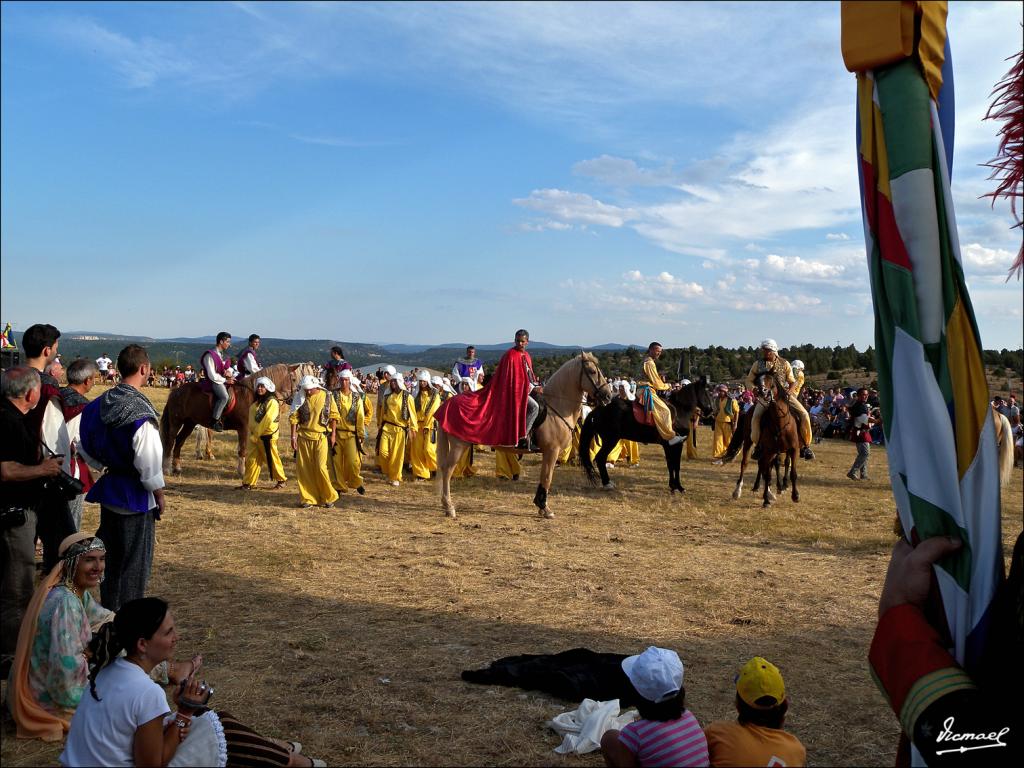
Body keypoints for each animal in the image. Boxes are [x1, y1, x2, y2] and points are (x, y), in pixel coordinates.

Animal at [159, 364, 315, 479]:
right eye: (294, 379)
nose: (299, 400)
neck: (253, 395)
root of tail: (175, 391)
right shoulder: (243, 428)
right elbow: (243, 449)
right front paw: (242, 471)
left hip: (189, 423)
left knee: (179, 441)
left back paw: (177, 467)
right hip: (176, 422)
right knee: (171, 441)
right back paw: (167, 468)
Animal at [436, 354, 610, 524]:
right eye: (592, 371)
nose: (607, 395)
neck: (556, 407)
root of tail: (445, 405)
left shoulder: (547, 452)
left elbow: (544, 476)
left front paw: (540, 505)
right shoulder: (552, 451)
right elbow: (548, 477)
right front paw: (545, 508)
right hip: (458, 446)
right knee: (447, 470)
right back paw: (449, 507)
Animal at [581, 376, 716, 493]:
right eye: (706, 393)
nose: (711, 411)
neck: (680, 411)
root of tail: (598, 410)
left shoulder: (669, 446)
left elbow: (671, 465)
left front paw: (673, 486)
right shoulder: (676, 444)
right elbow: (676, 465)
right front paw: (678, 487)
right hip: (611, 440)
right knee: (600, 458)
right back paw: (607, 483)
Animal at [733, 370, 802, 505]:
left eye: (771, 381)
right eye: (758, 381)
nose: (762, 391)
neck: (780, 422)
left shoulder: (793, 449)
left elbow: (793, 472)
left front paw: (795, 495)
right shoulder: (769, 451)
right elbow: (768, 473)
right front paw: (766, 500)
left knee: (764, 466)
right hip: (749, 442)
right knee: (745, 463)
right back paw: (738, 491)